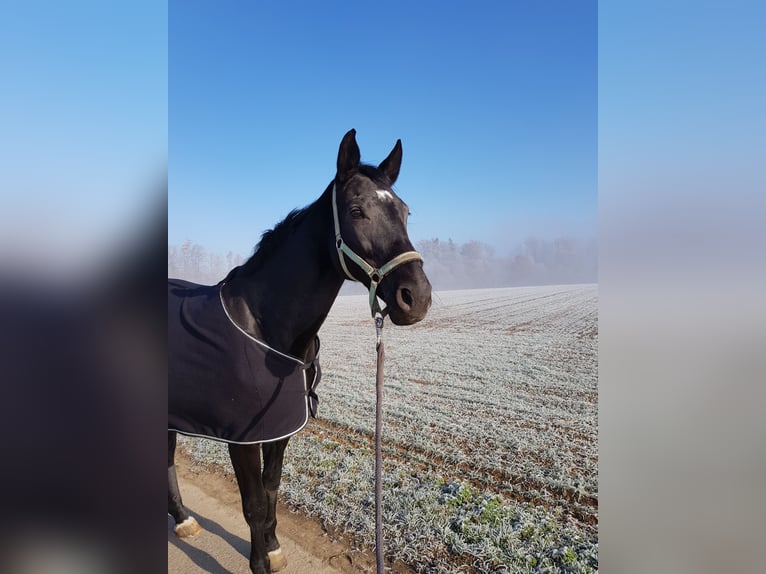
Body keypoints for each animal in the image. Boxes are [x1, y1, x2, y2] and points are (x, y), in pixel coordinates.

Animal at [167, 130, 432, 574]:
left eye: (405, 212)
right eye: (356, 210)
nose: (417, 297)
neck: (267, 329)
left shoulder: (280, 428)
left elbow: (272, 489)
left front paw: (273, 548)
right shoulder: (242, 439)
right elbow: (254, 503)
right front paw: (259, 563)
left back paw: (185, 520)